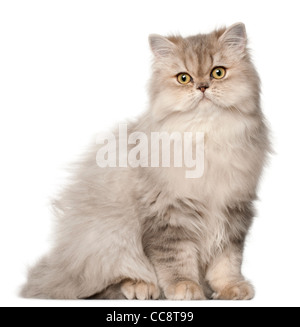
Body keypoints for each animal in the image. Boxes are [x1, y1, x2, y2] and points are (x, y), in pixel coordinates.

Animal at [21, 22, 270, 300]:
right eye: (184, 78)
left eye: (218, 73)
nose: (202, 87)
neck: (207, 137)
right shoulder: (168, 212)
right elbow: (175, 260)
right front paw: (185, 287)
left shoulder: (234, 209)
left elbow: (227, 261)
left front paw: (230, 288)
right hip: (110, 237)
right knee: (107, 283)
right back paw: (140, 287)